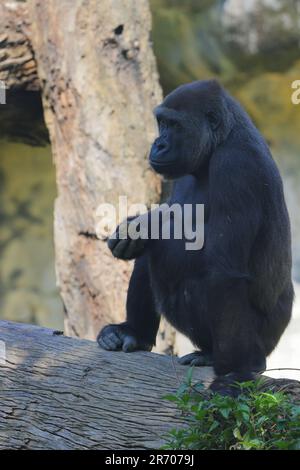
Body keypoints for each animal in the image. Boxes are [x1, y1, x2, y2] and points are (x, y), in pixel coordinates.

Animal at [96, 81, 292, 396]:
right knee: (149, 257)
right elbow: (168, 215)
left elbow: (223, 273)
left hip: (263, 341)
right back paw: (134, 333)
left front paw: (236, 374)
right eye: (161, 123)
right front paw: (139, 224)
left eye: (174, 125)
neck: (223, 137)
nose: (158, 144)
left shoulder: (236, 166)